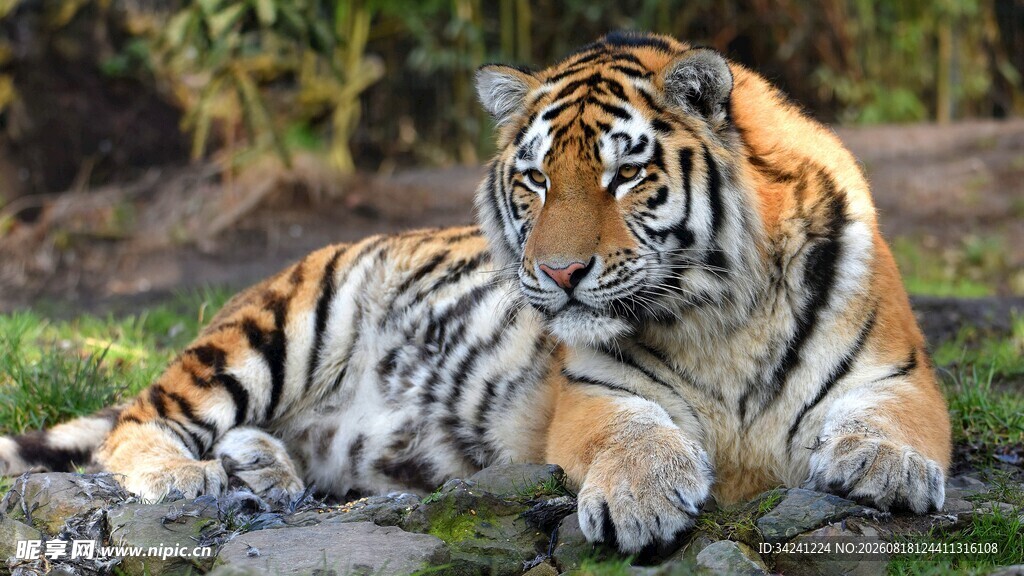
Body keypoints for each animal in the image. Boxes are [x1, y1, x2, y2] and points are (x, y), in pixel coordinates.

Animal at [0, 32, 950, 553]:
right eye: (534, 180)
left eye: (625, 175)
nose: (560, 273)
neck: (720, 313)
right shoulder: (597, 392)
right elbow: (633, 437)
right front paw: (641, 500)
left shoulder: (899, 372)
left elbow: (892, 421)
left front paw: (887, 470)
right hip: (281, 321)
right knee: (134, 422)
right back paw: (187, 478)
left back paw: (265, 468)